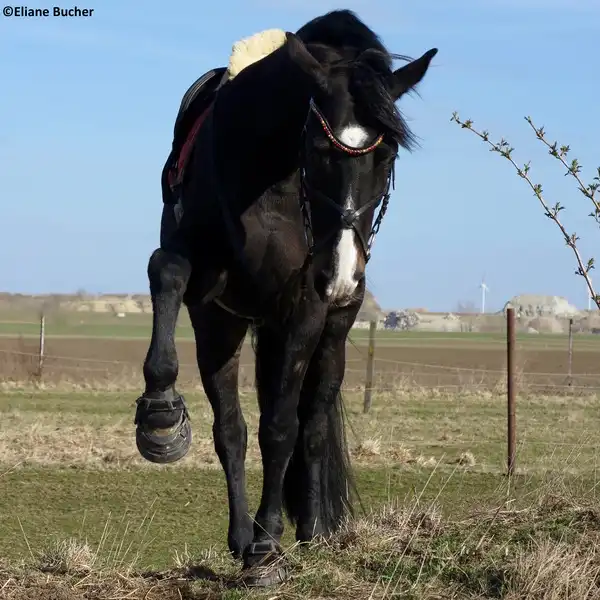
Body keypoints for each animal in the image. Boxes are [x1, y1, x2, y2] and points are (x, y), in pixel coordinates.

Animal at [135, 8, 436, 584]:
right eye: (318, 151)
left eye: (387, 156)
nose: (341, 273)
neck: (270, 181)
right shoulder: (208, 299)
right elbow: (166, 268)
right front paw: (160, 415)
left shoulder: (304, 309)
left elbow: (281, 429)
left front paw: (266, 549)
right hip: (237, 328)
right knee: (234, 429)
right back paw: (244, 531)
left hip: (331, 336)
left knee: (312, 424)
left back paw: (309, 531)